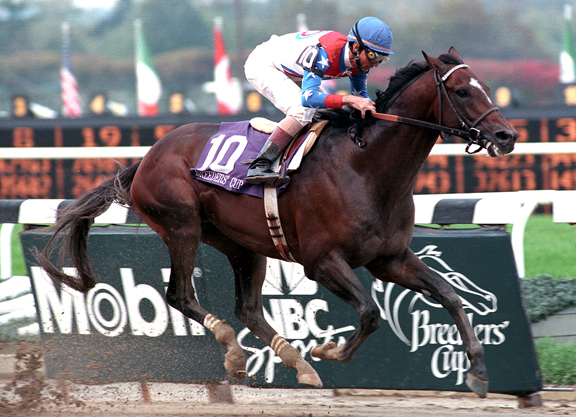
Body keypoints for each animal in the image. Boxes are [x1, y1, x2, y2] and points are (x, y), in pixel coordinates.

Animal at [39, 48, 516, 396]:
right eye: (462, 91)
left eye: (488, 87)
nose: (506, 136)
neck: (366, 168)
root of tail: (148, 157)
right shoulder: (322, 261)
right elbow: (370, 312)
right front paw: (328, 350)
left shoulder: (390, 258)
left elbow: (449, 295)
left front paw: (478, 372)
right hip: (181, 226)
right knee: (180, 294)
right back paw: (237, 353)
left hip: (242, 244)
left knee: (248, 308)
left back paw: (294, 362)